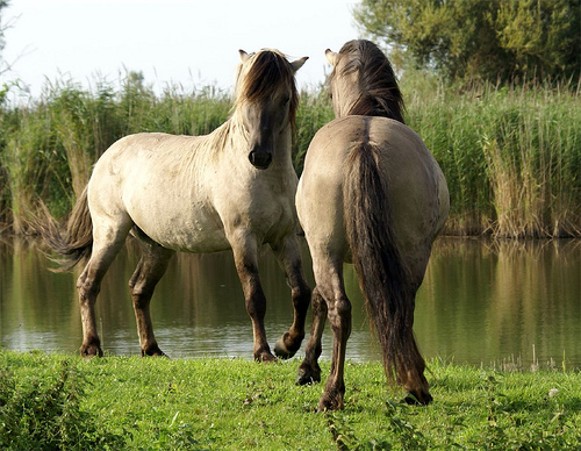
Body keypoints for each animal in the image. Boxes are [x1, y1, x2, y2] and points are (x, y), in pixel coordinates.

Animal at [43, 47, 310, 362]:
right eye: (246, 97)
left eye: (285, 98)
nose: (259, 156)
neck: (267, 179)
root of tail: (104, 158)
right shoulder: (243, 238)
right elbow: (255, 298)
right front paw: (264, 353)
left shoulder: (285, 238)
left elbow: (301, 292)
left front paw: (287, 345)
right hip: (110, 233)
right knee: (88, 283)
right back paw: (92, 347)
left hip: (157, 247)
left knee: (139, 289)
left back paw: (151, 349)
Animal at [294, 40, 448, 412]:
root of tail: (364, 143)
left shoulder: (318, 248)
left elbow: (318, 299)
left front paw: (308, 367)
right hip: (412, 251)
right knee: (401, 306)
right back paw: (415, 384)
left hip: (325, 250)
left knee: (339, 307)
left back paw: (332, 392)